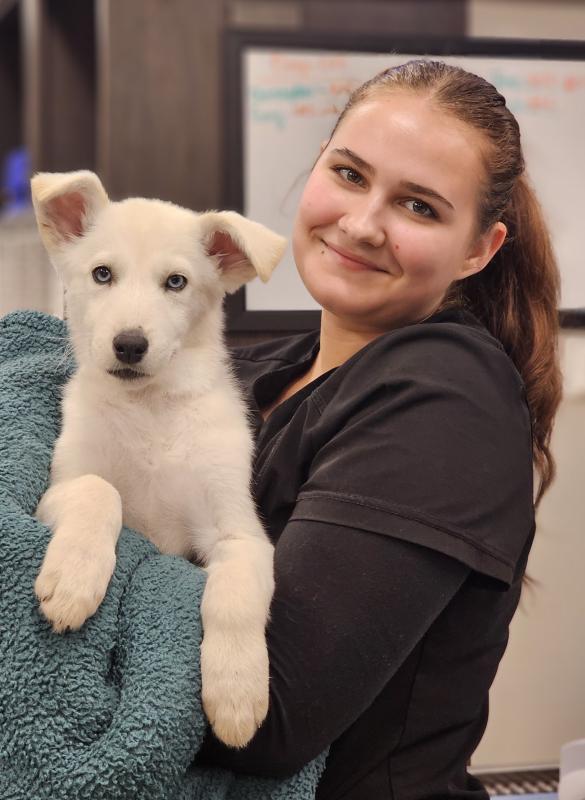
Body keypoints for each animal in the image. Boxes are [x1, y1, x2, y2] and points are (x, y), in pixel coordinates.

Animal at [30, 170, 286, 752]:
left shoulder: (240, 533)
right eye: (102, 274)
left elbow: (233, 596)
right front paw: (74, 580)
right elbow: (100, 491)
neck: (149, 412)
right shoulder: (58, 487)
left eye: (176, 282)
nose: (129, 345)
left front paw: (236, 690)